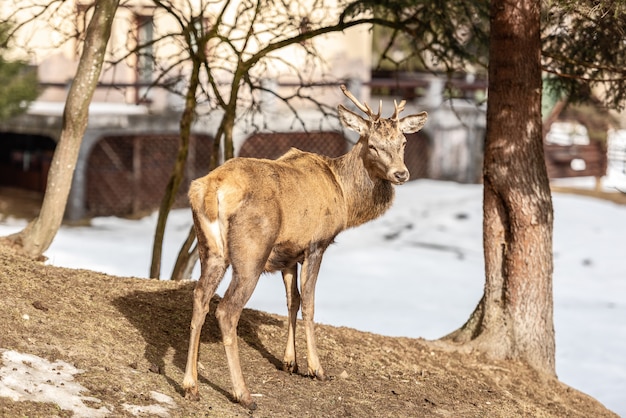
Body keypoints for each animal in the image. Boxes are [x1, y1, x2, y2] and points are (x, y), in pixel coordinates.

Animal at [180, 84, 424, 408]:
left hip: (210, 250)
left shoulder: (288, 254)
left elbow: (291, 300)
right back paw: (244, 394)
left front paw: (289, 362)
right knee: (227, 310)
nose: (401, 174)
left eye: (403, 142)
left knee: (200, 298)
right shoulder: (316, 244)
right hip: (251, 253)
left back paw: (190, 385)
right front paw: (316, 368)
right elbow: (309, 302)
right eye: (372, 145)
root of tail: (211, 189)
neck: (345, 197)